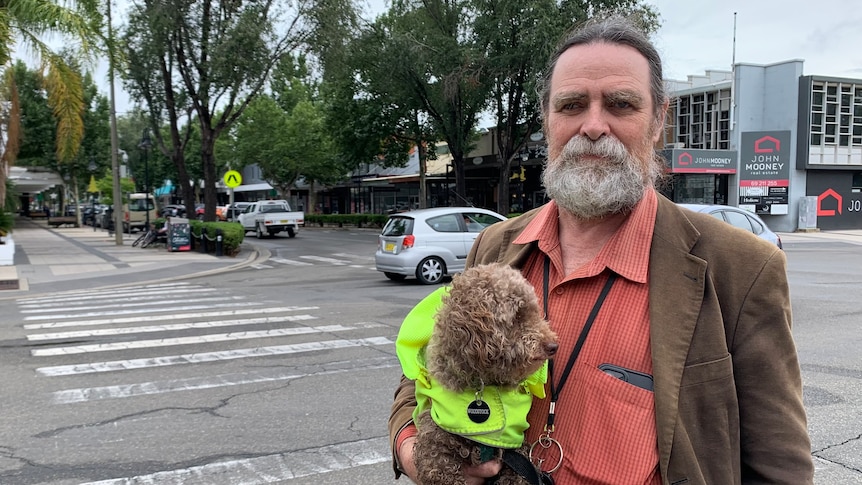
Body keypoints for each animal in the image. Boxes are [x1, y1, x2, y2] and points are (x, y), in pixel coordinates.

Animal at [412, 262, 560, 484]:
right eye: (517, 315)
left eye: (535, 312)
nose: (553, 346)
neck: (484, 382)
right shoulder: (434, 440)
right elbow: (439, 468)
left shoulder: (514, 452)